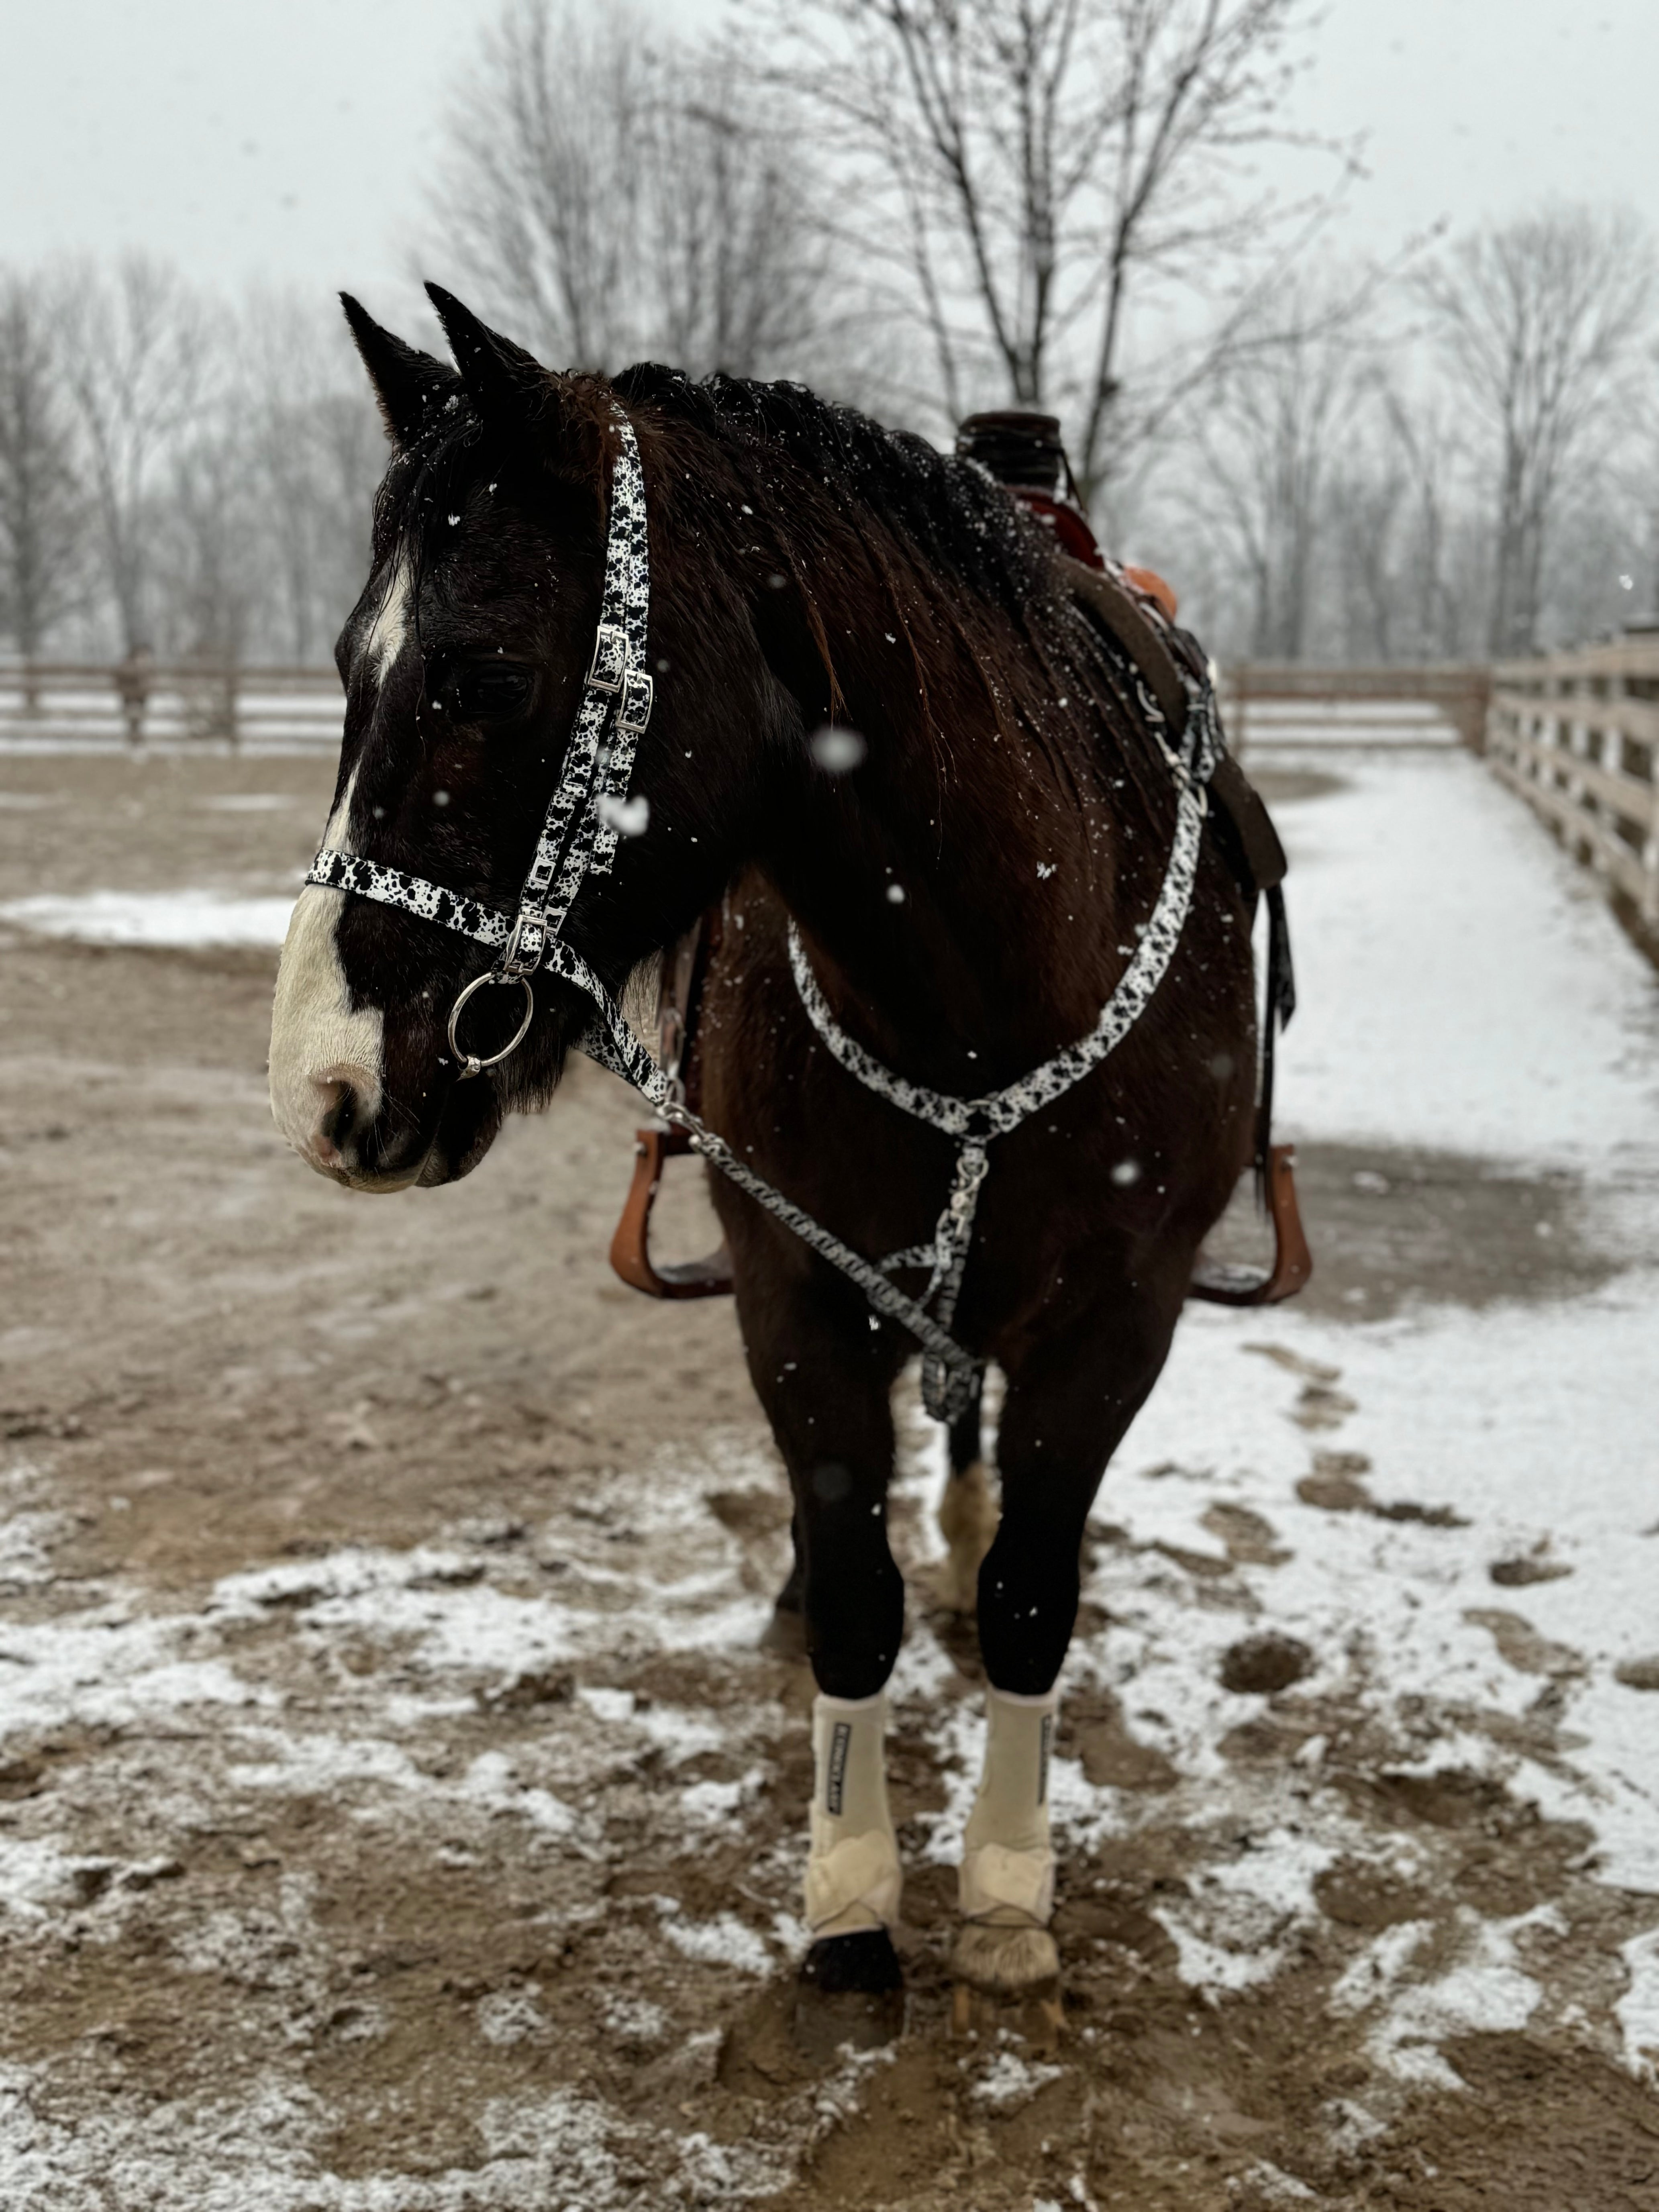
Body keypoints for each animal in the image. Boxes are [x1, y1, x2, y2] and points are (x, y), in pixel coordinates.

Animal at [269, 290, 1256, 2035]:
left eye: (484, 676)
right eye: (345, 667)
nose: (325, 1079)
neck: (982, 989)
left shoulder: (1120, 1319)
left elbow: (1033, 1597)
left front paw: (1006, 1892)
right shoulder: (795, 1290)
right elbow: (857, 1591)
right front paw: (852, 1893)